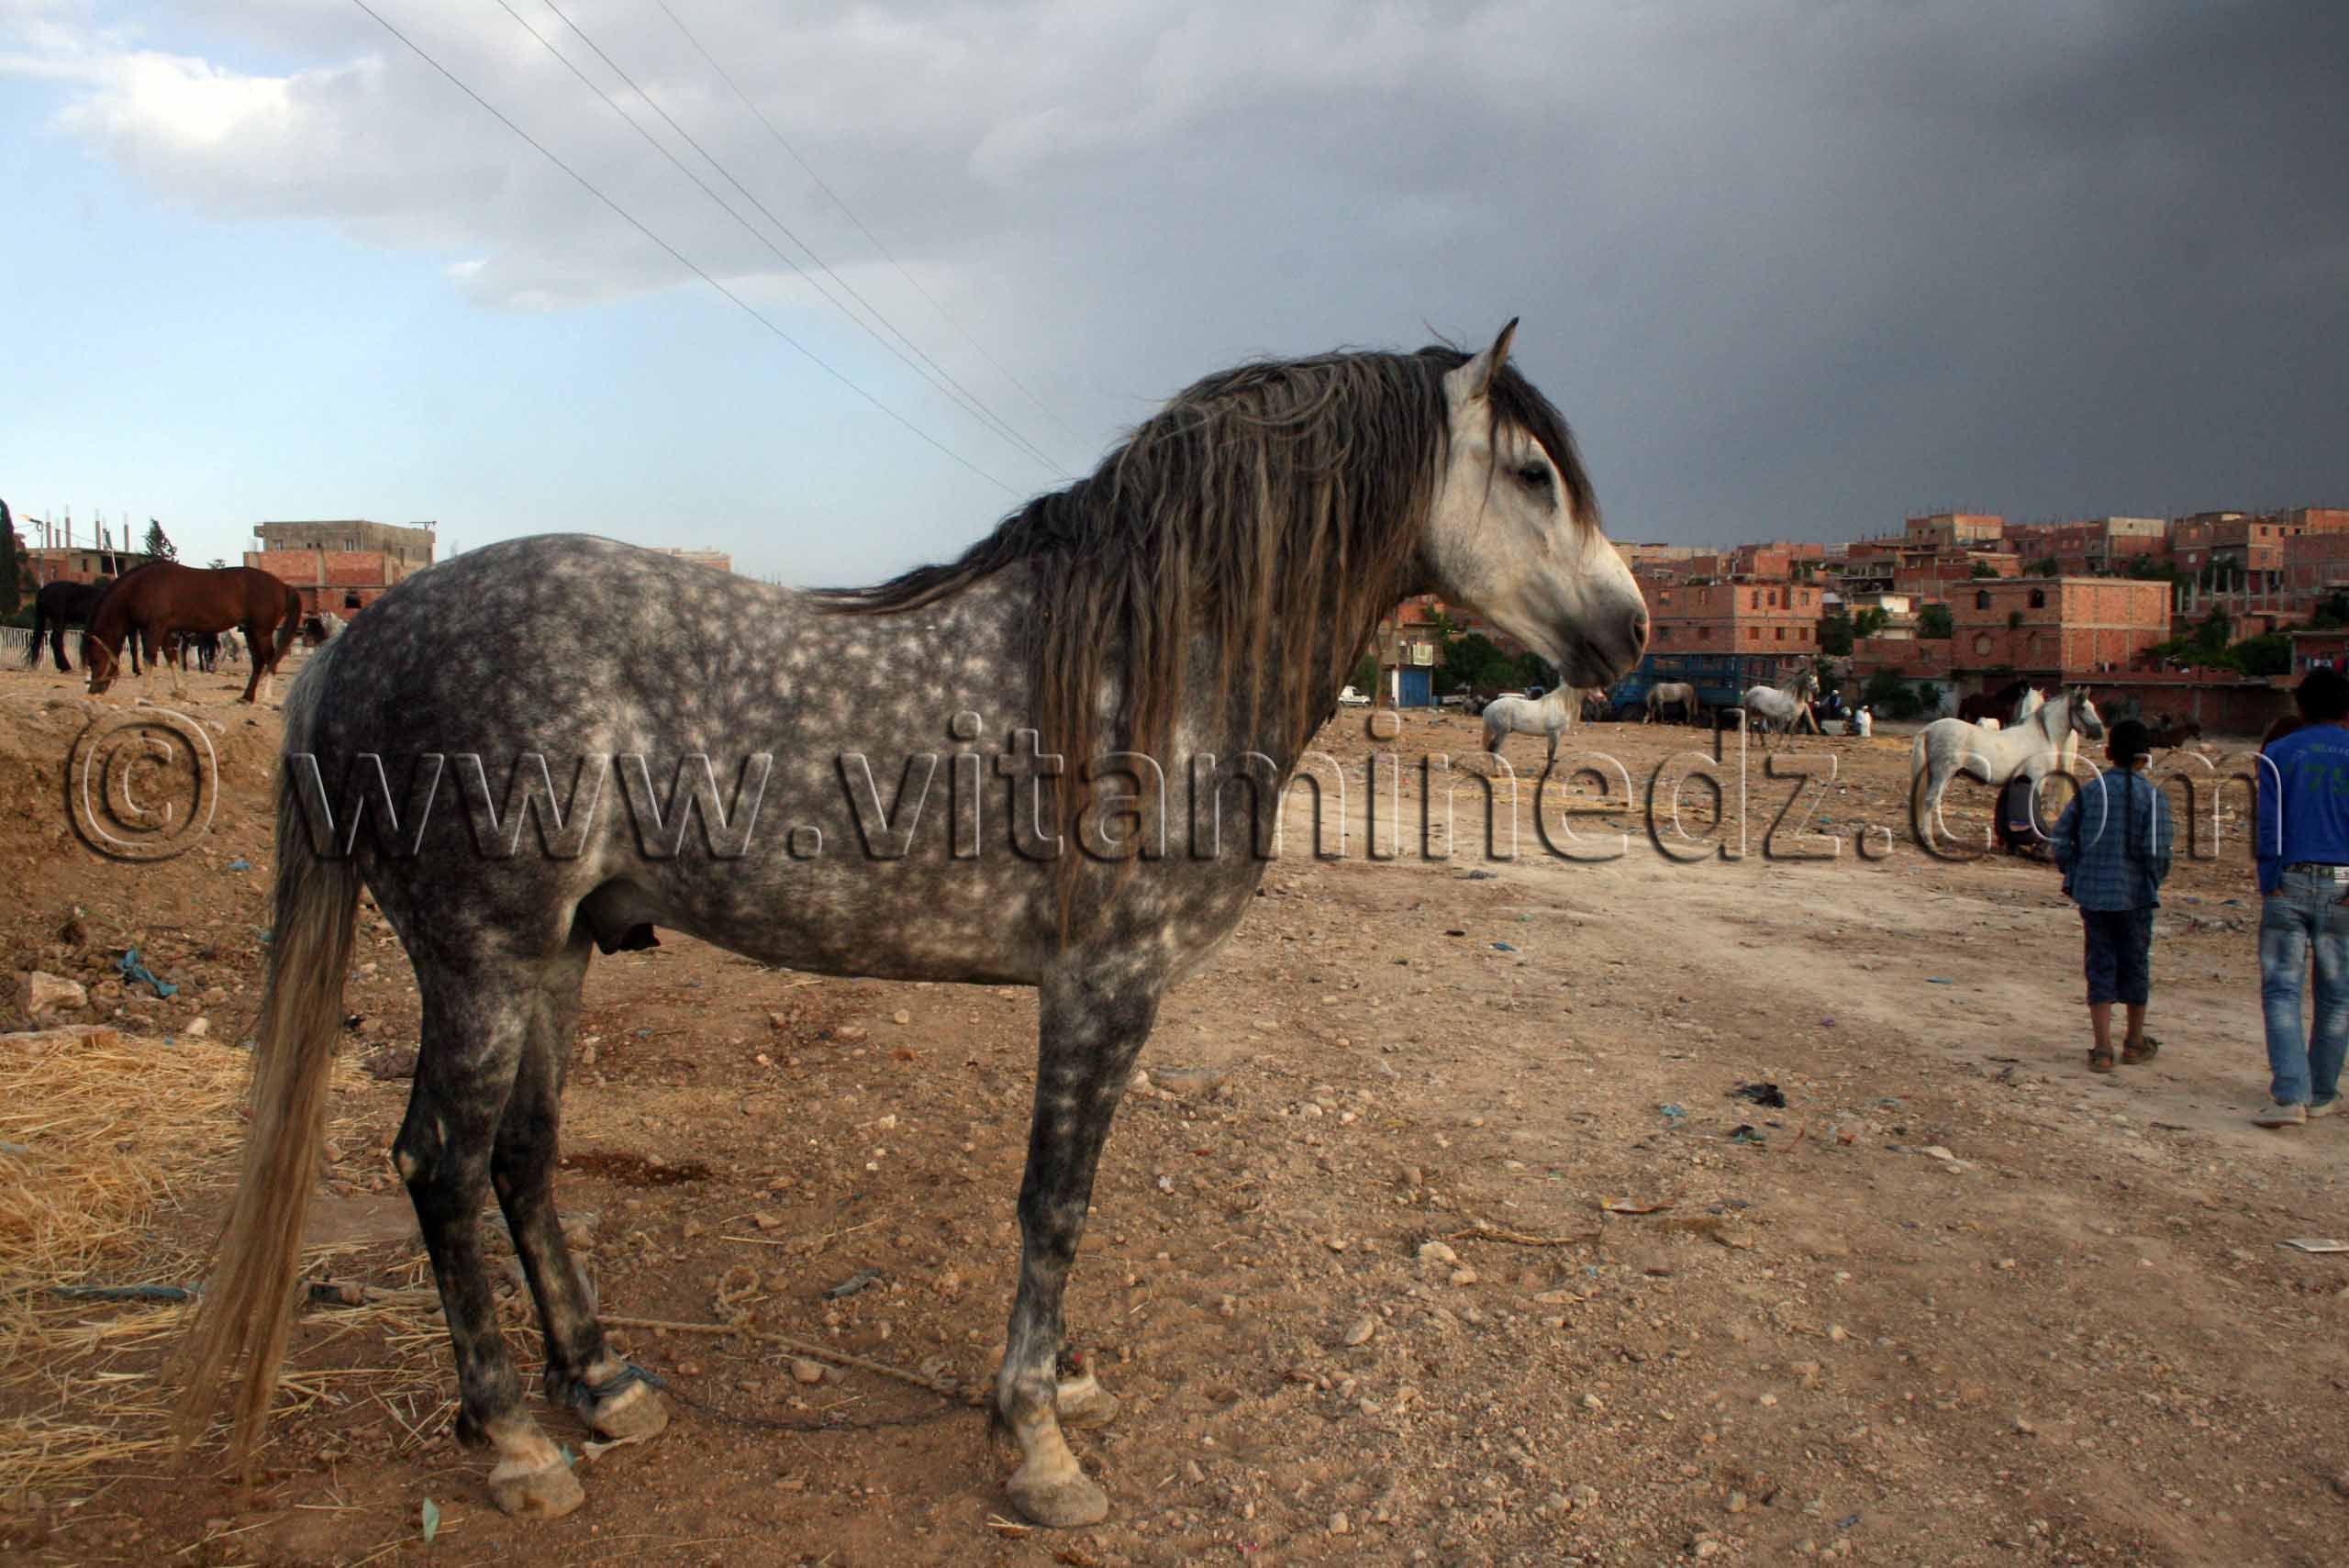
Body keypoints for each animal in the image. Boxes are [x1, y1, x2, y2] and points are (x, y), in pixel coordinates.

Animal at [84, 564, 302, 704]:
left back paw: (265, 695)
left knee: (271, 659)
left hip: (262, 631)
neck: (140, 586)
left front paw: (146, 692)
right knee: (258, 662)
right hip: (250, 631)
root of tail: (283, 586)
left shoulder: (155, 628)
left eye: (94, 660)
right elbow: (171, 657)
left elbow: (150, 657)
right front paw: (180, 690)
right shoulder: (165, 630)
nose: (93, 690)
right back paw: (247, 697)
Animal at [168, 326, 1650, 1529]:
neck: (1142, 667)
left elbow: (1062, 1206)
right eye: (1533, 475)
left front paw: (1061, 1383)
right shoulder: (1104, 987)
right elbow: (1056, 1200)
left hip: (558, 953)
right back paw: (516, 1441)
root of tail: (350, 643)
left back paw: (600, 1382)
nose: (1629, 632)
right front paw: (1037, 1439)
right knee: (439, 1163)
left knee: (524, 1158)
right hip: (478, 959)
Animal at [1910, 686, 2105, 837]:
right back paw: (1929, 836)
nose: (2100, 732)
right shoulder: (2036, 778)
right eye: (2083, 708)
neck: (2042, 735)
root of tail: (1929, 729)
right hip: (1943, 775)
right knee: (1929, 801)